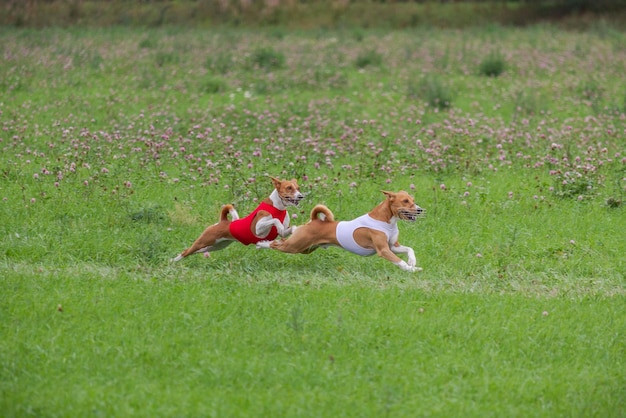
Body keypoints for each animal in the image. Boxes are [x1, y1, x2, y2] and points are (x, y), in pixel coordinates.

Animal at [172, 176, 304, 262]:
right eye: (289, 188)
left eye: (298, 188)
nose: (301, 196)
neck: (277, 207)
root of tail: (223, 221)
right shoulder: (258, 228)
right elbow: (274, 220)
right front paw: (279, 225)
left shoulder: (284, 230)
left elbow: (289, 228)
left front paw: (294, 231)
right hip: (204, 240)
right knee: (186, 251)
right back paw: (173, 261)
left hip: (215, 245)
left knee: (193, 251)